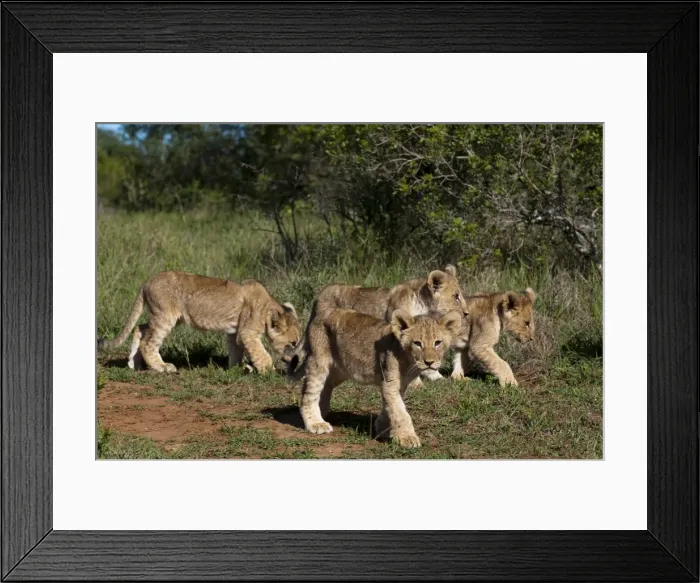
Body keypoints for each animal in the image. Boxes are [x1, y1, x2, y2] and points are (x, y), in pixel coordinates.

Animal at [97, 270, 301, 374]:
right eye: (292, 343)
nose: (295, 360)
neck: (268, 307)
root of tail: (147, 281)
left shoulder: (234, 331)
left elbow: (236, 350)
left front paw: (238, 368)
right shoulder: (247, 332)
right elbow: (261, 353)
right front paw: (269, 371)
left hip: (161, 315)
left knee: (140, 328)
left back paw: (135, 364)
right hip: (165, 316)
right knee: (149, 342)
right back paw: (163, 367)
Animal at [286, 265, 469, 384]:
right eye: (456, 296)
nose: (467, 313)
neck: (424, 306)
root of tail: (319, 295)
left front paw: (437, 376)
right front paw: (422, 381)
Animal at [297, 308, 462, 447]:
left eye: (438, 343)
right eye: (417, 343)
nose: (429, 362)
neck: (409, 362)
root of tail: (320, 313)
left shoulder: (398, 385)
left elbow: (390, 407)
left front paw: (383, 428)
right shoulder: (390, 383)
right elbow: (400, 412)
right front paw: (407, 438)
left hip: (340, 370)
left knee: (326, 386)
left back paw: (322, 412)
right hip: (319, 362)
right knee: (308, 393)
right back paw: (316, 423)